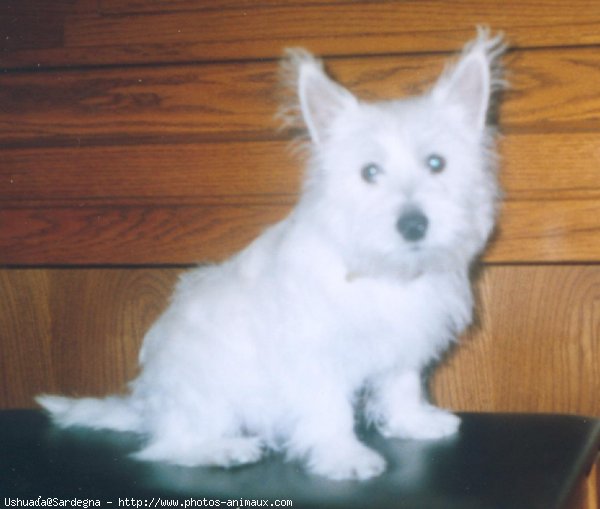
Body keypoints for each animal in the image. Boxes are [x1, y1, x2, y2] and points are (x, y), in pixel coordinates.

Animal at [38, 28, 506, 480]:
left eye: (436, 163)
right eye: (369, 172)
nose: (413, 225)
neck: (381, 271)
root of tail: (149, 407)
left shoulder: (403, 344)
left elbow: (402, 386)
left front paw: (414, 422)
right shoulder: (314, 355)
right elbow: (330, 410)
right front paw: (343, 457)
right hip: (204, 391)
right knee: (168, 445)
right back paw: (224, 449)